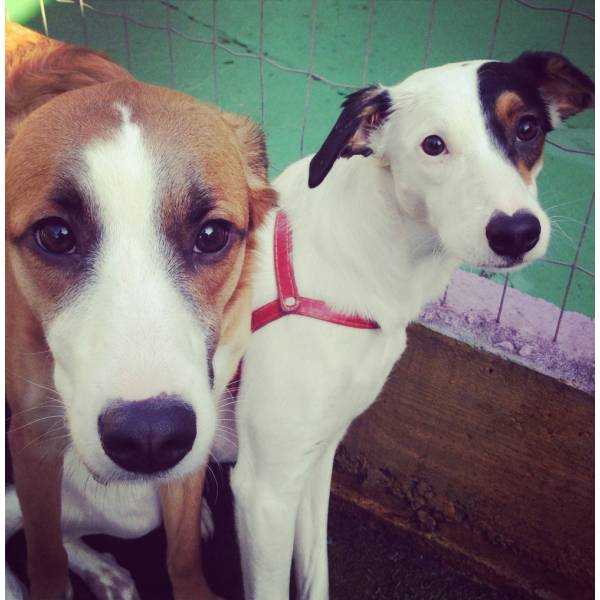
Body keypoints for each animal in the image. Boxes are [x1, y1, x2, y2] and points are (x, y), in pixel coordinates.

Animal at [6, 23, 274, 600]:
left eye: (212, 235)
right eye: (55, 235)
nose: (149, 439)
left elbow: (183, 554)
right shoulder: (32, 441)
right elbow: (45, 557)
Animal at [224, 52, 592, 600]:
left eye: (527, 127)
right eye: (433, 145)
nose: (516, 232)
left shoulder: (317, 454)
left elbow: (314, 573)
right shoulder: (263, 490)